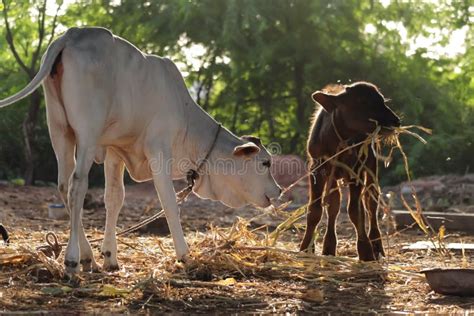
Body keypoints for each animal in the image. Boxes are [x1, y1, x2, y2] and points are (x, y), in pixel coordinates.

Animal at [0, 27, 282, 274]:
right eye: (265, 163)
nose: (279, 191)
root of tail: (72, 34)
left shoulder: (115, 151)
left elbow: (114, 198)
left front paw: (110, 257)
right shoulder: (159, 151)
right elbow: (169, 202)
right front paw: (184, 255)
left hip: (59, 129)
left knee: (62, 184)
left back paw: (89, 256)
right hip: (87, 133)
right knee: (76, 185)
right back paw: (72, 261)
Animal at [300, 82, 400, 262]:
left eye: (382, 100)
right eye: (363, 101)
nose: (396, 120)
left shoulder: (356, 171)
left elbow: (355, 210)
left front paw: (366, 251)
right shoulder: (316, 169)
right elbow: (315, 209)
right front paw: (306, 247)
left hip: (371, 166)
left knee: (370, 201)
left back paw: (377, 245)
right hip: (333, 175)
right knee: (334, 204)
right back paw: (329, 247)